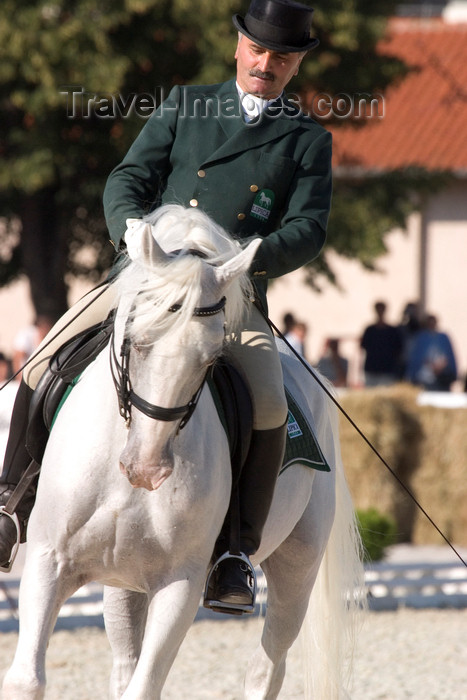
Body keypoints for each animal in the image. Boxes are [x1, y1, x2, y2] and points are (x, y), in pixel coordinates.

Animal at [1, 205, 366, 696]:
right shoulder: (48, 561)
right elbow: (27, 679)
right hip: (122, 579)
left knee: (267, 666)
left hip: (298, 564)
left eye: (212, 358)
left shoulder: (181, 584)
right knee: (124, 664)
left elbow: (146, 685)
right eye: (134, 338)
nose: (146, 468)